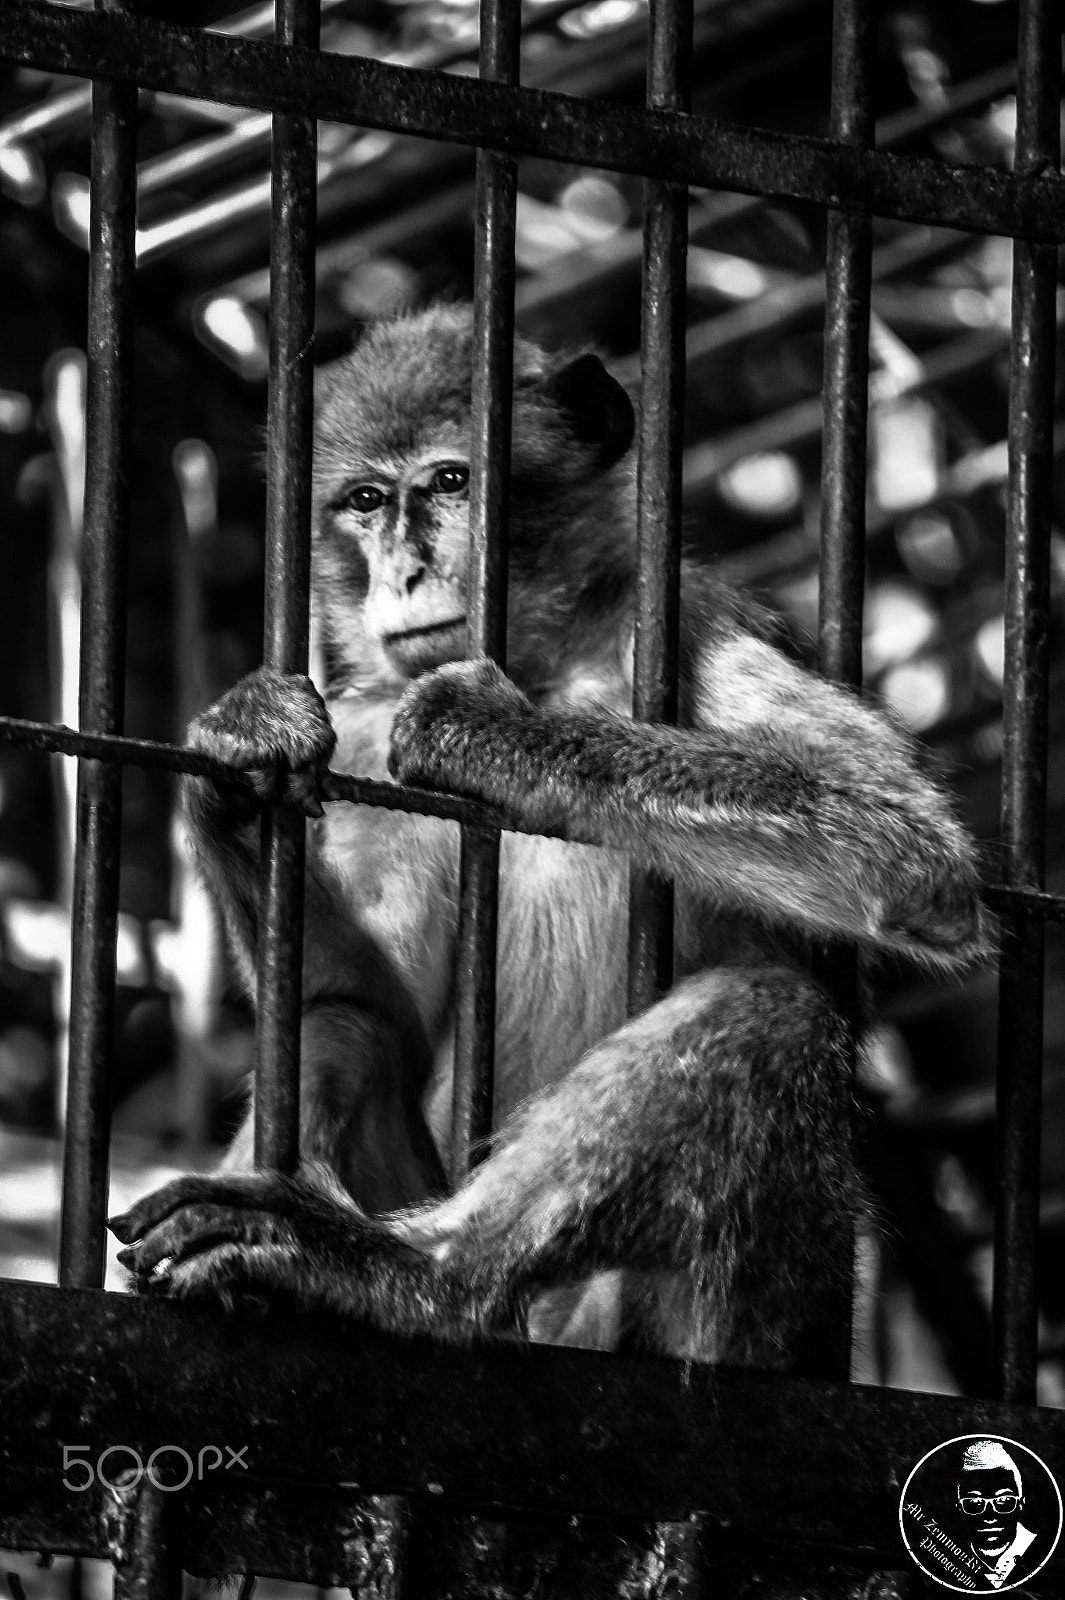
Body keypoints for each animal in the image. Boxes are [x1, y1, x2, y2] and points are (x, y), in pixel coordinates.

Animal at [111, 302, 989, 1370]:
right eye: (363, 501)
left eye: (451, 482)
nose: (403, 571)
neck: (543, 659)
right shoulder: (358, 728)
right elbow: (361, 999)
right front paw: (237, 762)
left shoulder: (690, 618)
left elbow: (903, 851)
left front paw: (489, 734)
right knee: (343, 1027)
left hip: (724, 1325)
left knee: (768, 1012)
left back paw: (422, 1275)